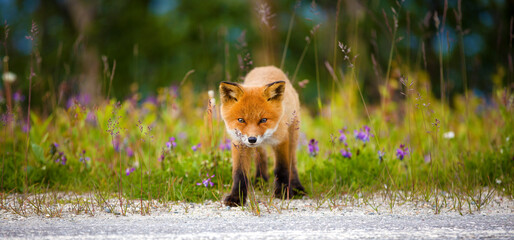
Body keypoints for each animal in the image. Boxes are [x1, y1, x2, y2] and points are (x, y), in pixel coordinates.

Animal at [217, 65, 304, 206]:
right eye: (241, 120)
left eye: (263, 120)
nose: (252, 139)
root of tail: (267, 67)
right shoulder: (239, 143)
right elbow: (239, 174)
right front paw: (236, 197)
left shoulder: (281, 140)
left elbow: (282, 168)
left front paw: (283, 193)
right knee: (261, 158)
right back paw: (260, 181)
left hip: (293, 135)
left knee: (293, 163)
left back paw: (297, 187)